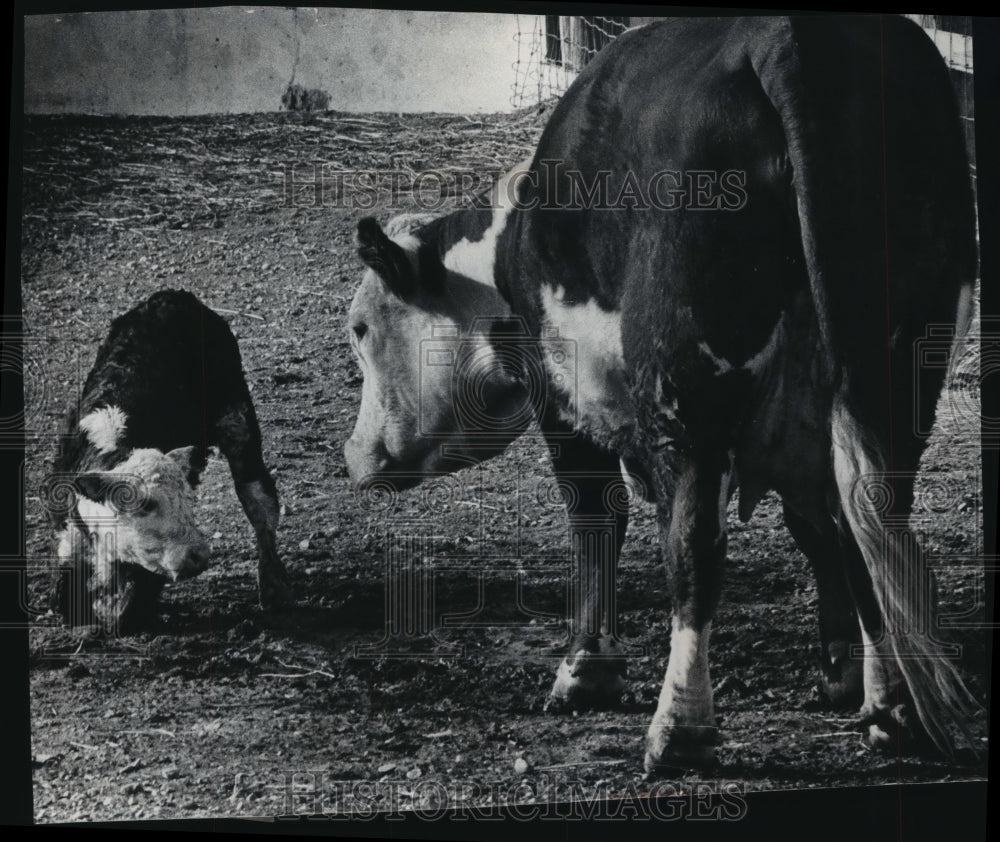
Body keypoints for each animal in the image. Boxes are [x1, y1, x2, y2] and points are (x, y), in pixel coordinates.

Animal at [47, 288, 290, 632]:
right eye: (145, 504)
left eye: (188, 501)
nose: (198, 554)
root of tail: (175, 296)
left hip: (238, 421)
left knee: (259, 501)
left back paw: (273, 587)